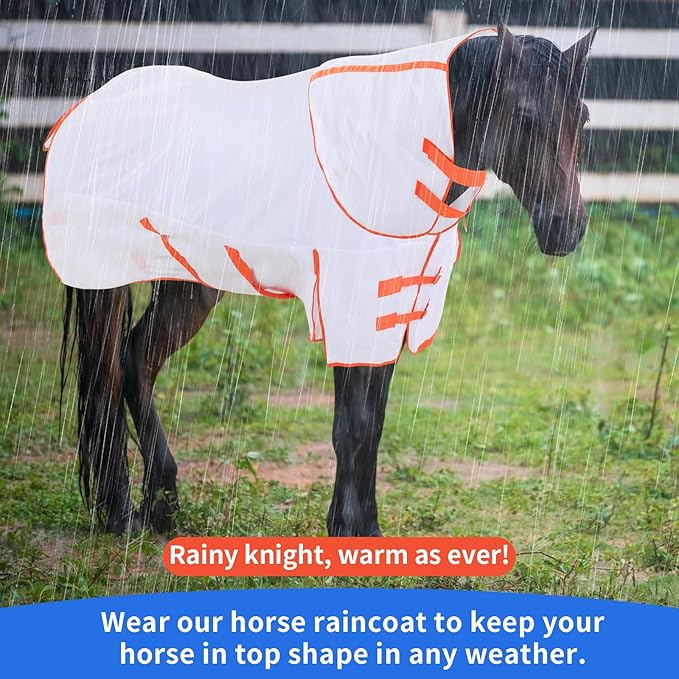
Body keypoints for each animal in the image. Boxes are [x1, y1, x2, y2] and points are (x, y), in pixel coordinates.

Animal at [57, 23, 596, 536]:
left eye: (583, 117)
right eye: (524, 116)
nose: (566, 228)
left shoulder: (388, 305)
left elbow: (371, 418)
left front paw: (361, 526)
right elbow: (352, 422)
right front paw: (352, 529)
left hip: (190, 284)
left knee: (135, 361)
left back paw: (159, 508)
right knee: (109, 375)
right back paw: (123, 512)